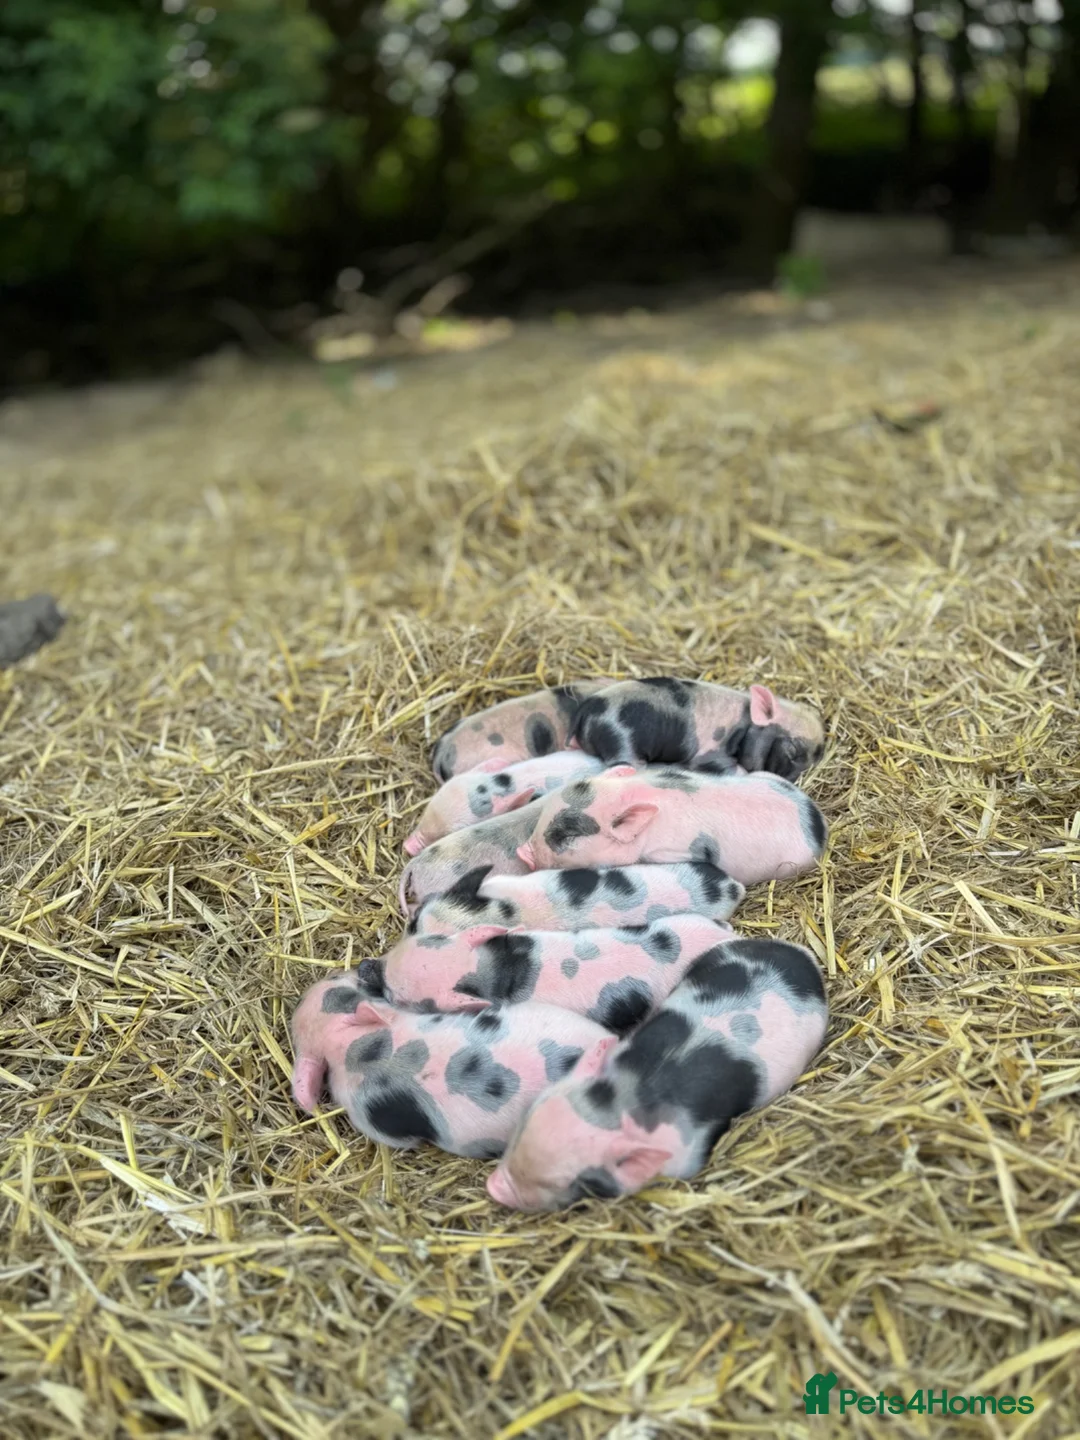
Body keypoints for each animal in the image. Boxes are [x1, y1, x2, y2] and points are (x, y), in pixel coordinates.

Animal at [486, 937, 828, 1210]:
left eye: (564, 1182)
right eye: (522, 1123)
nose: (495, 1188)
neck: (620, 1101)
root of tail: (801, 954)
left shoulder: (685, 1156)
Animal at [568, 678, 825, 780]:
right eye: (794, 750)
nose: (794, 779)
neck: (745, 722)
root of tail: (584, 711)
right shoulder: (711, 750)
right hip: (622, 741)